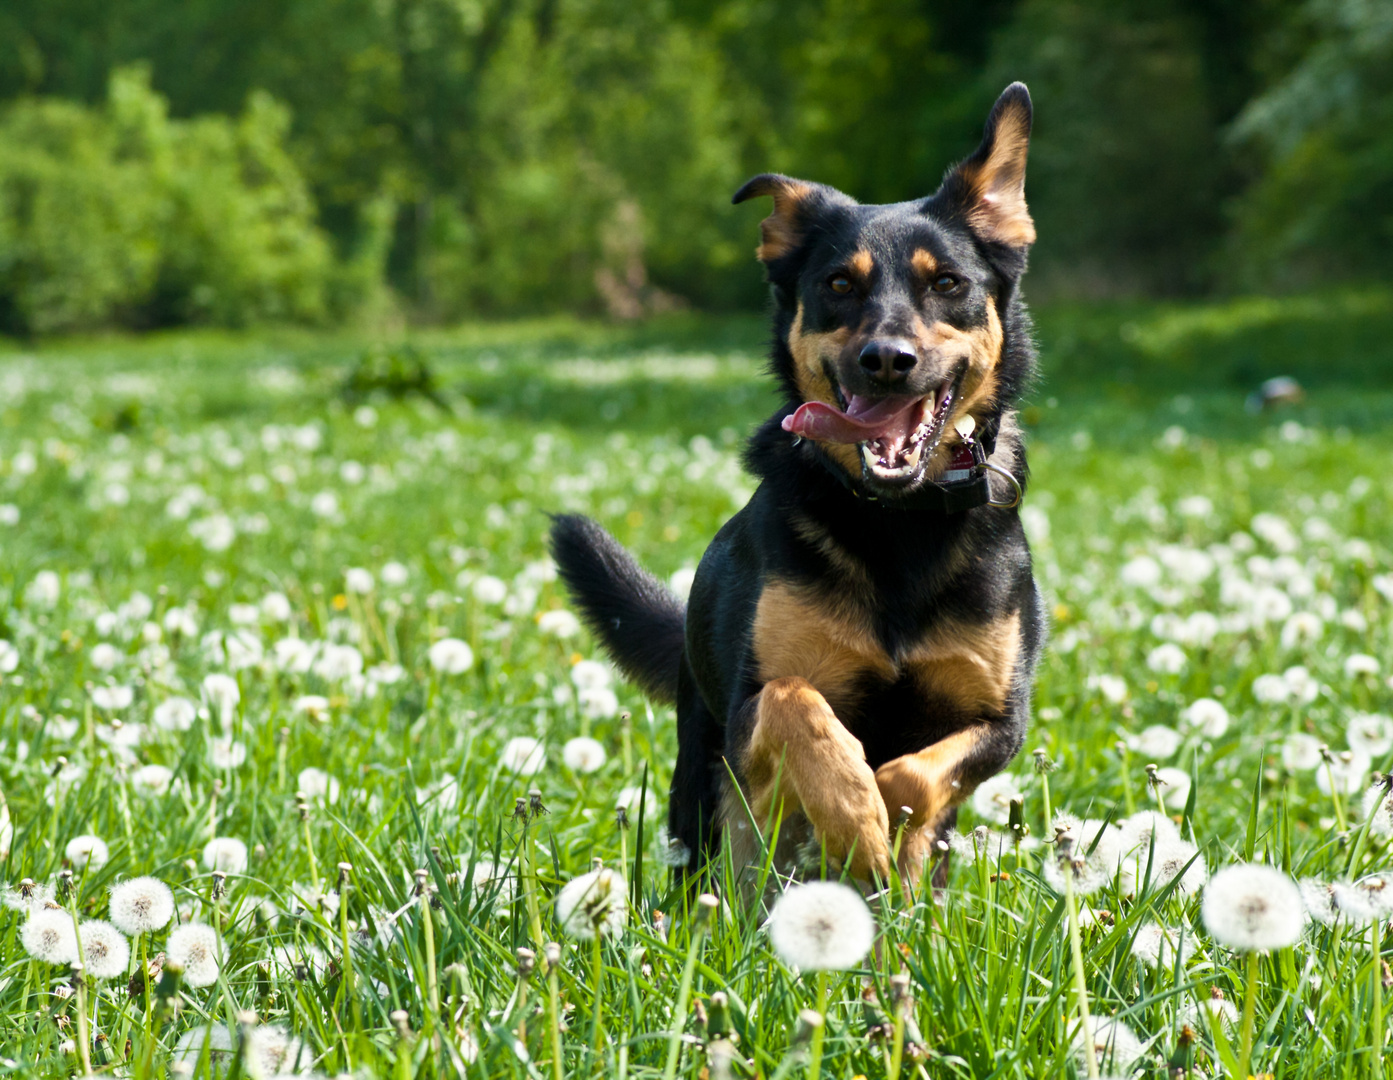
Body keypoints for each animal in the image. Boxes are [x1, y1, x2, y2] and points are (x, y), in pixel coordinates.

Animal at [554, 84, 1047, 886]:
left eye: (947, 283)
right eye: (838, 284)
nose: (887, 359)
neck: (897, 520)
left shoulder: (997, 721)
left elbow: (911, 777)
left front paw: (881, 832)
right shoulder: (751, 705)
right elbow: (803, 709)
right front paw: (856, 822)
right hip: (700, 788)